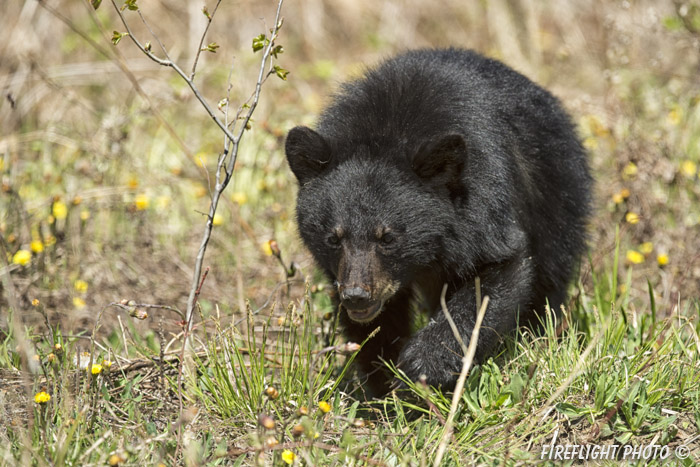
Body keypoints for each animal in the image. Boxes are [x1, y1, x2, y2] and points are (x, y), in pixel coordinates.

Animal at [284, 47, 592, 396]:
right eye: (333, 238)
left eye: (388, 237)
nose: (357, 295)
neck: (390, 130)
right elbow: (378, 328)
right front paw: (382, 385)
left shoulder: (484, 202)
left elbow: (497, 275)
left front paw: (422, 364)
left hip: (556, 195)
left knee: (551, 275)